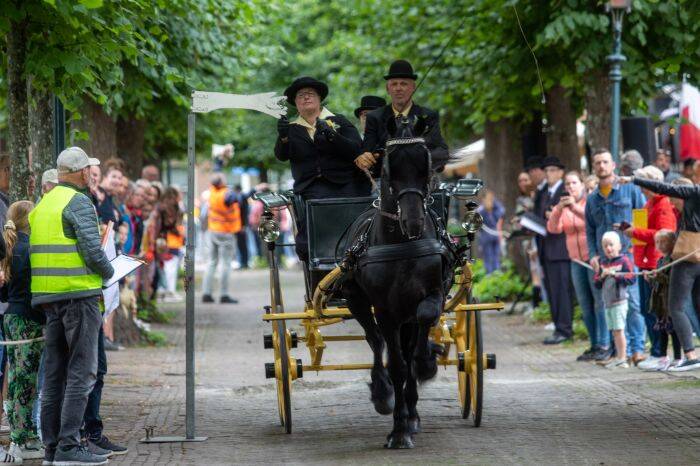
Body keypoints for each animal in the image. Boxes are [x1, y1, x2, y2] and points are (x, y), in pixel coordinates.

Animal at [340, 115, 454, 448]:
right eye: (389, 166)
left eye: (426, 163)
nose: (413, 221)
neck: (403, 244)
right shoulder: (386, 310)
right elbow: (397, 364)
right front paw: (398, 430)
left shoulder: (433, 294)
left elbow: (420, 333)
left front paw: (426, 362)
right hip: (357, 301)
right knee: (376, 341)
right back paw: (383, 393)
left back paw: (413, 411)